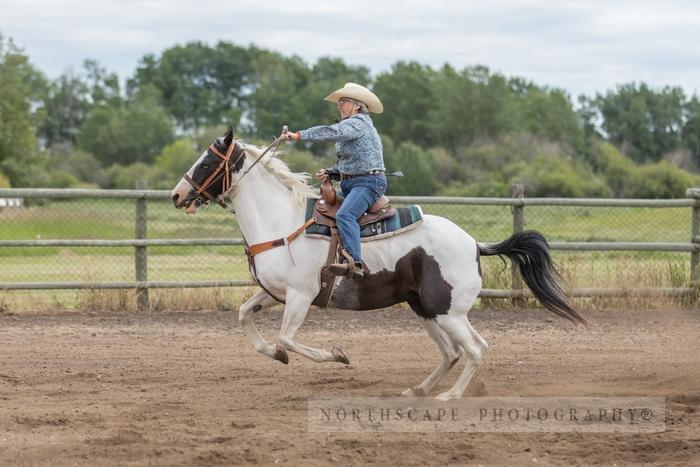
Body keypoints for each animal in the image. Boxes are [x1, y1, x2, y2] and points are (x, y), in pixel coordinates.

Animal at [171, 129, 584, 402]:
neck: (281, 222)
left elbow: (288, 337)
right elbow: (245, 315)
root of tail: (473, 244)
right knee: (453, 352)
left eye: (207, 160)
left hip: (448, 312)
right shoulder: (276, 293)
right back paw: (419, 389)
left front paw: (337, 355)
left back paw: (449, 397)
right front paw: (276, 355)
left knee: (475, 350)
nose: (177, 194)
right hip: (425, 309)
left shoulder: (301, 296)